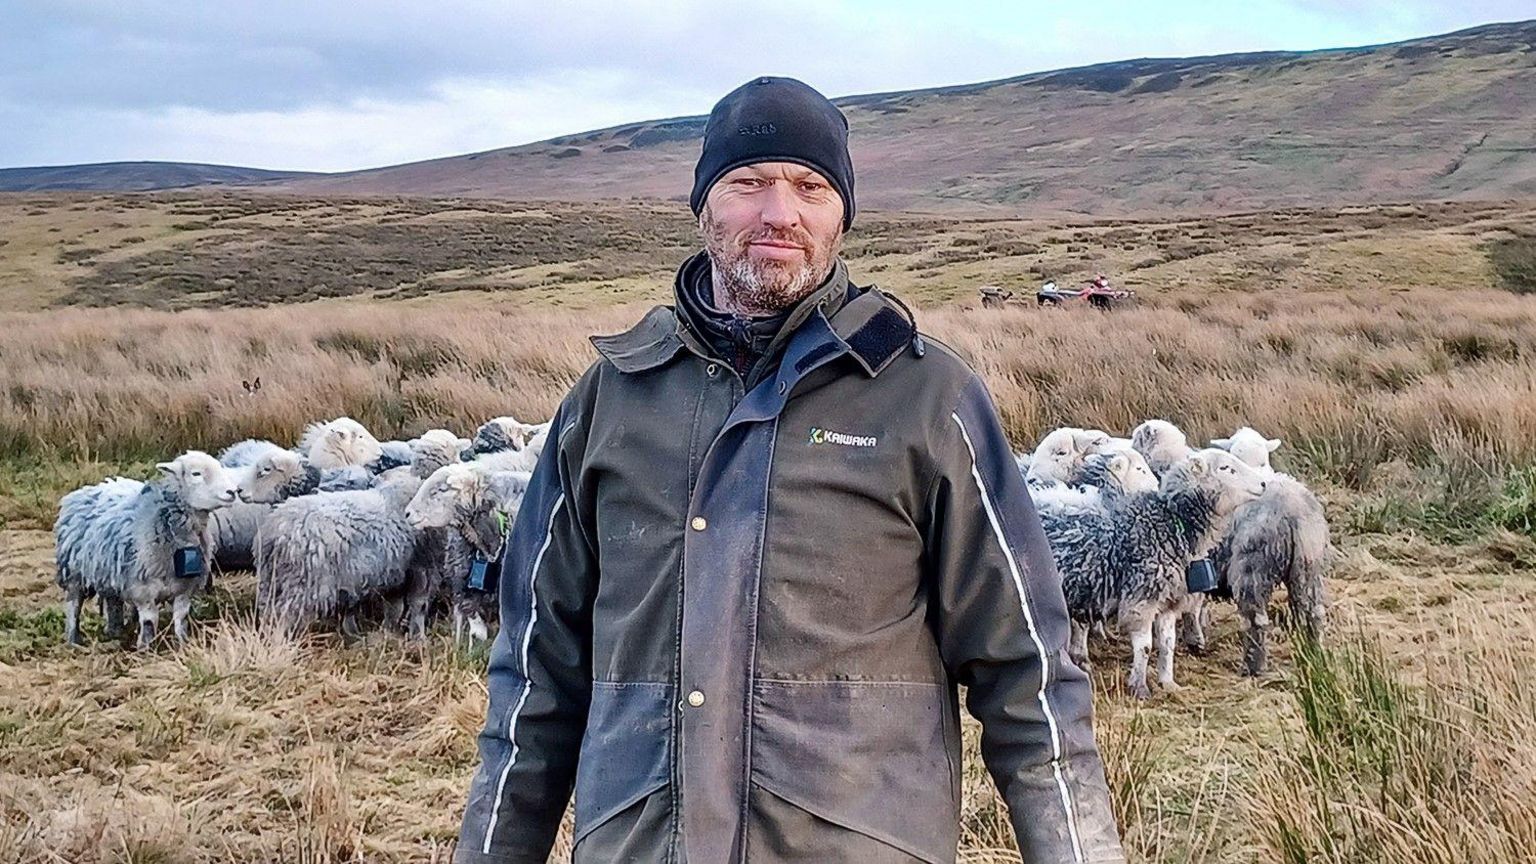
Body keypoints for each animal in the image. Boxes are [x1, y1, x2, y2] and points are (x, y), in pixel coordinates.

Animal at [53, 451, 236, 645]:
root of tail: (92, 487)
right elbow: (149, 621)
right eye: (196, 474)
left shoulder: (185, 588)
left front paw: (183, 643)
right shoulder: (143, 589)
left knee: (112, 600)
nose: (232, 491)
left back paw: (115, 632)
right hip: (74, 572)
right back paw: (73, 639)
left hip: (110, 568)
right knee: (74, 604)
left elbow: (181, 618)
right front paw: (146, 646)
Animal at [254, 467, 427, 636]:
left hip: (271, 581)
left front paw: (389, 632)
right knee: (283, 615)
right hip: (303, 584)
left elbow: (394, 608)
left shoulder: (396, 576)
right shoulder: (416, 572)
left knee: (268, 612)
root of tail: (276, 531)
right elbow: (414, 605)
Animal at [1044, 445, 1271, 694]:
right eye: (1225, 467)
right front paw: (1140, 687)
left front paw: (1168, 683)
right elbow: (1145, 646)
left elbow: (1167, 644)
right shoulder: (1142, 599)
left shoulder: (1168, 601)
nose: (1263, 484)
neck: (1170, 523)